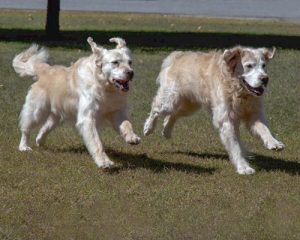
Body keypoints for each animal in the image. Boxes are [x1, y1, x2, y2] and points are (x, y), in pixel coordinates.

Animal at [12, 36, 141, 168]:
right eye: (115, 62)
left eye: (130, 62)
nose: (131, 73)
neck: (103, 85)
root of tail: (45, 70)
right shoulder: (87, 118)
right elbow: (96, 143)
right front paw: (103, 161)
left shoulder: (116, 111)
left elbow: (126, 124)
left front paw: (131, 137)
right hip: (37, 111)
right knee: (26, 129)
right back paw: (24, 146)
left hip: (57, 116)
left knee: (45, 127)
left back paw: (40, 141)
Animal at [144, 46, 284, 174]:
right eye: (249, 66)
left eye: (263, 65)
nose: (265, 79)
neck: (239, 91)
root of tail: (177, 55)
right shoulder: (225, 120)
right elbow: (235, 146)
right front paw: (243, 167)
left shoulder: (254, 115)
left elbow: (264, 129)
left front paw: (273, 142)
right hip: (169, 101)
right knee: (156, 108)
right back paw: (148, 128)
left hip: (189, 105)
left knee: (173, 115)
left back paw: (166, 131)